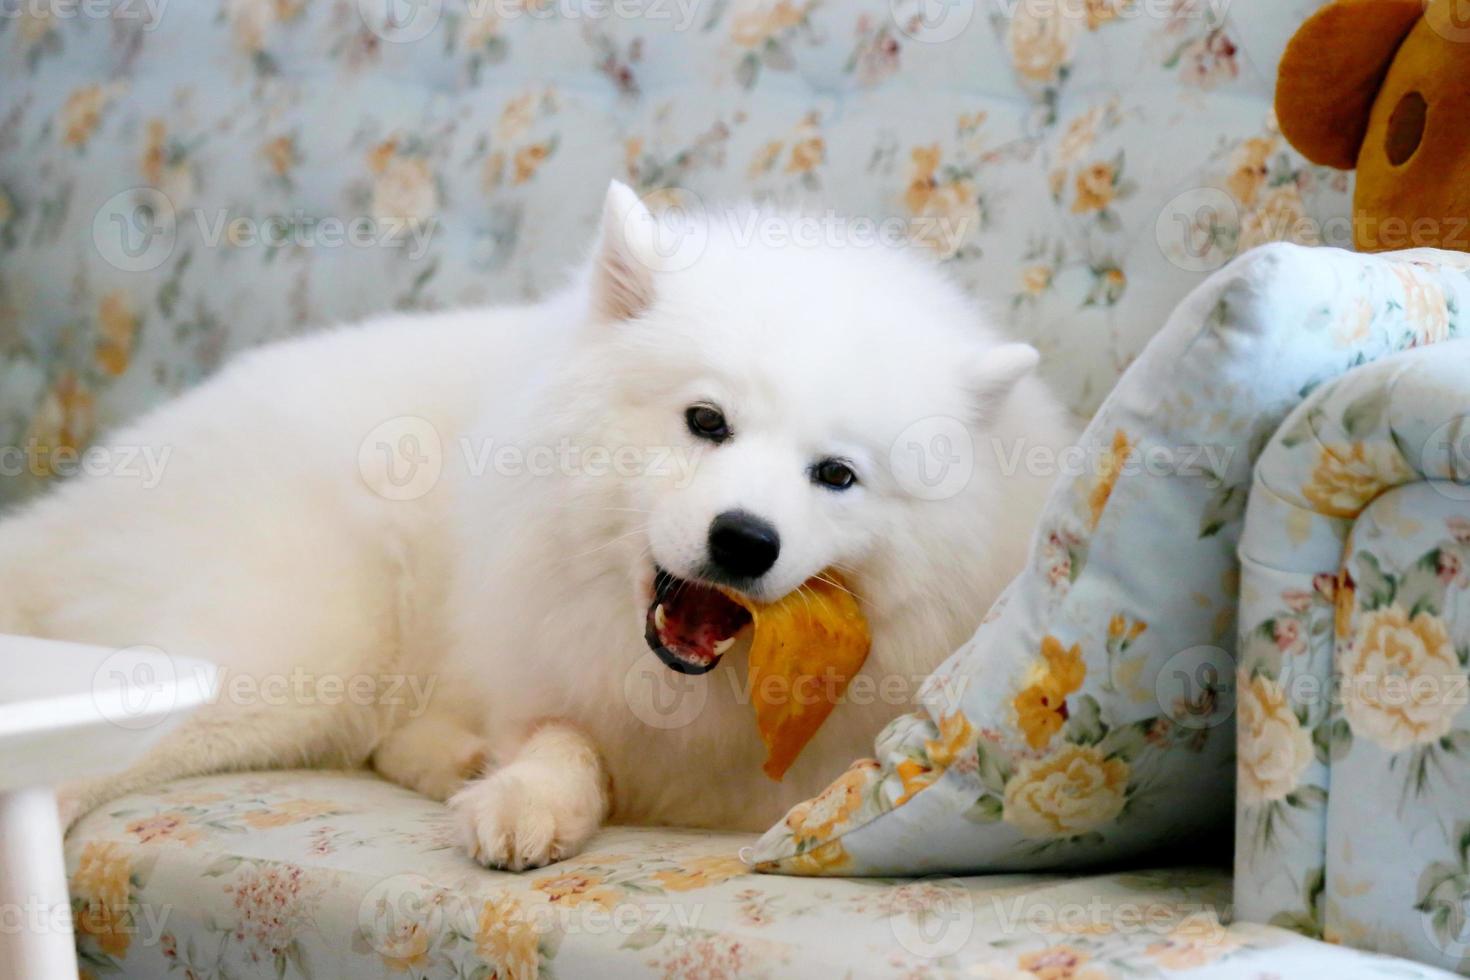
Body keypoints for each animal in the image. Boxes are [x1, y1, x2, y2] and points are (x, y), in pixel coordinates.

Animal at [2, 182, 1081, 863]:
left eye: (837, 475)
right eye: (706, 421)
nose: (744, 539)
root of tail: (77, 498)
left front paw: (507, 789)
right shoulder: (538, 662)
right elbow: (566, 739)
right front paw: (526, 799)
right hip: (284, 657)